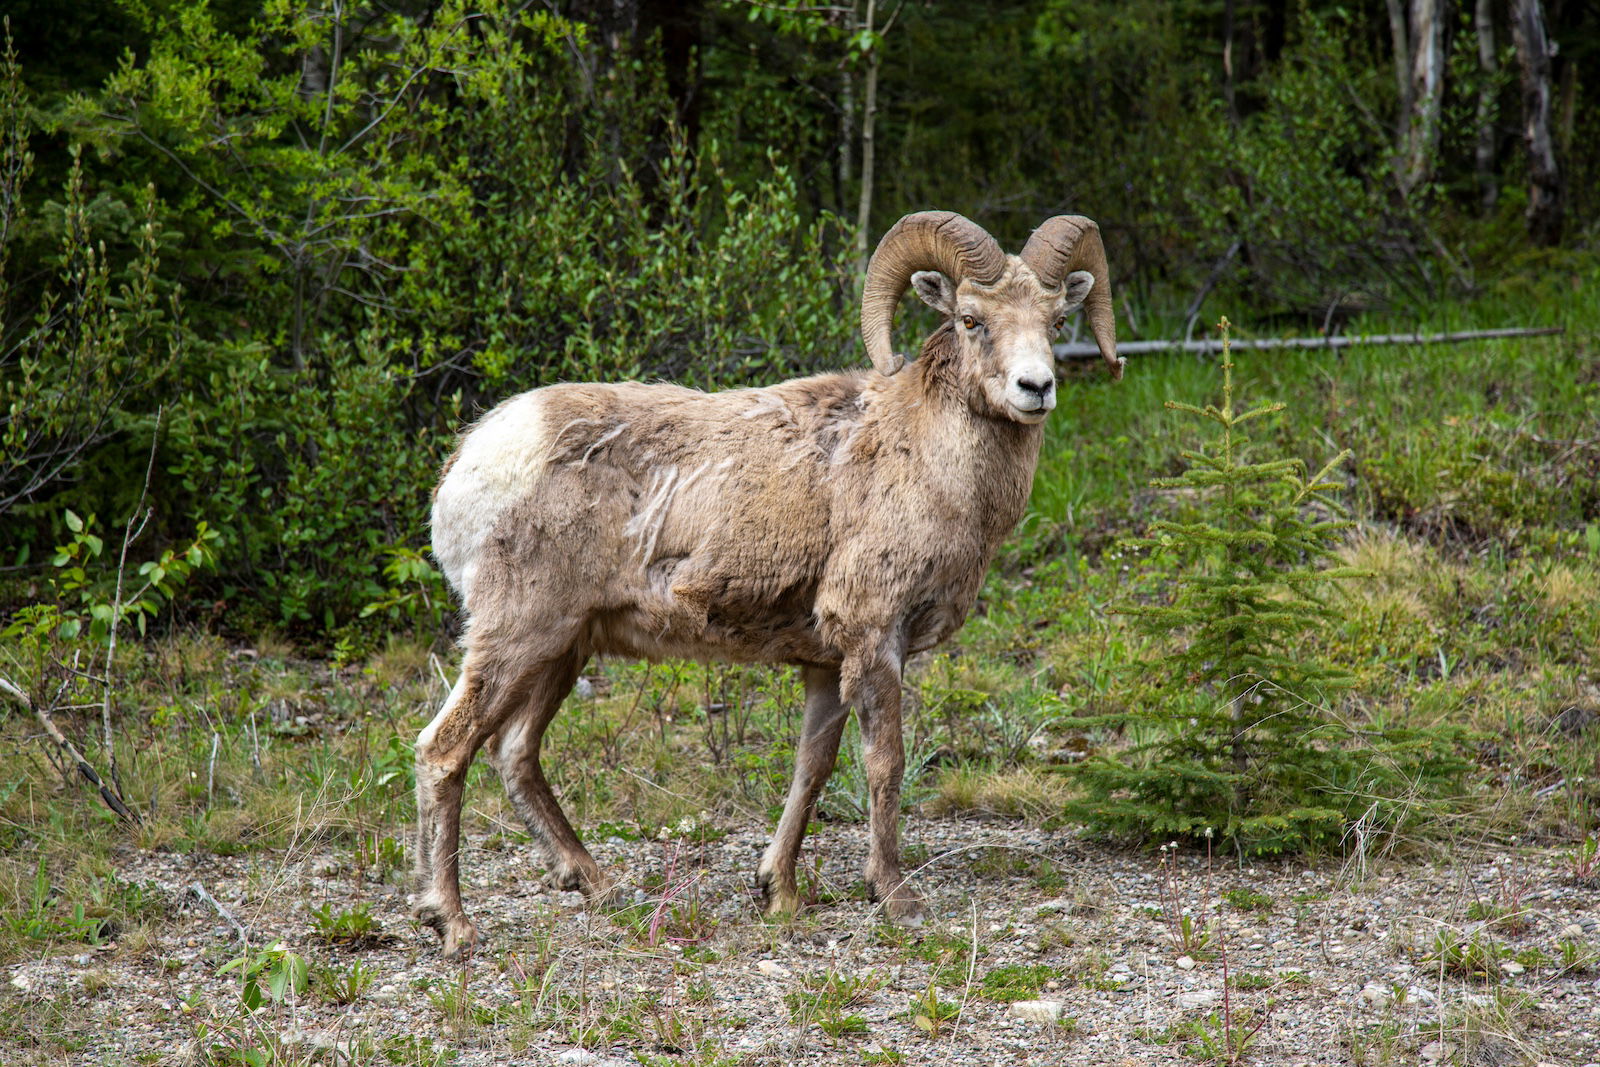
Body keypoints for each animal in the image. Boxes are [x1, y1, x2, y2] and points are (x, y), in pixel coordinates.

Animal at [413, 211, 1122, 958]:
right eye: (971, 318)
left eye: (1056, 318)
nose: (1035, 388)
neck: (929, 462)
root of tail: (469, 461)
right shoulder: (876, 639)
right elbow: (886, 762)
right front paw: (895, 895)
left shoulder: (825, 664)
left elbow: (812, 767)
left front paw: (777, 890)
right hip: (517, 635)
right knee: (444, 750)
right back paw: (453, 923)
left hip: (562, 649)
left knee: (515, 752)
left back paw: (598, 885)